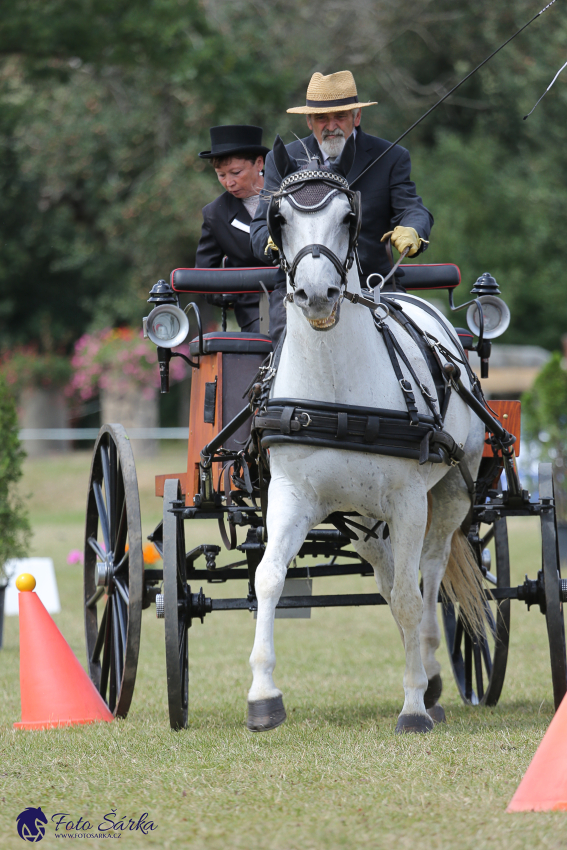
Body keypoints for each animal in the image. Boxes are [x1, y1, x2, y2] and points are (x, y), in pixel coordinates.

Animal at [246, 137, 486, 728]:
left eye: (348, 215)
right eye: (278, 218)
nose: (317, 294)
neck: (338, 391)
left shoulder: (408, 501)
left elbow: (410, 597)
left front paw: (414, 705)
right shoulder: (291, 495)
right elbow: (268, 577)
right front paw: (262, 696)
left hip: (449, 494)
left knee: (427, 576)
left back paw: (429, 674)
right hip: (360, 519)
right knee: (388, 577)